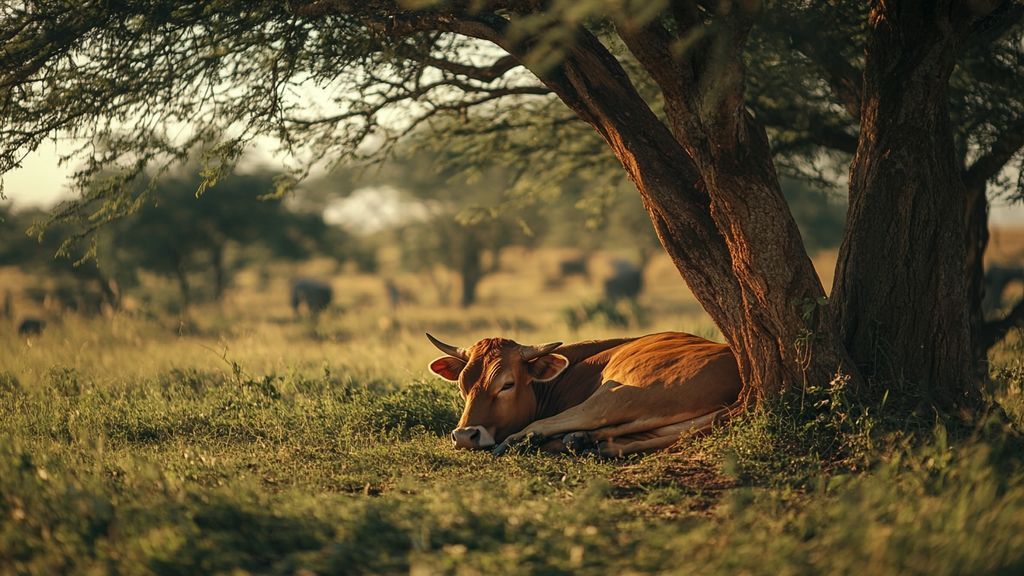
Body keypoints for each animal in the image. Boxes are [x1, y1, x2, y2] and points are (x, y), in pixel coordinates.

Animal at [426, 331, 742, 457]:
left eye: (507, 384)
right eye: (463, 385)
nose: (465, 436)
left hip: (617, 394)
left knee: (544, 427)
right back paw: (583, 441)